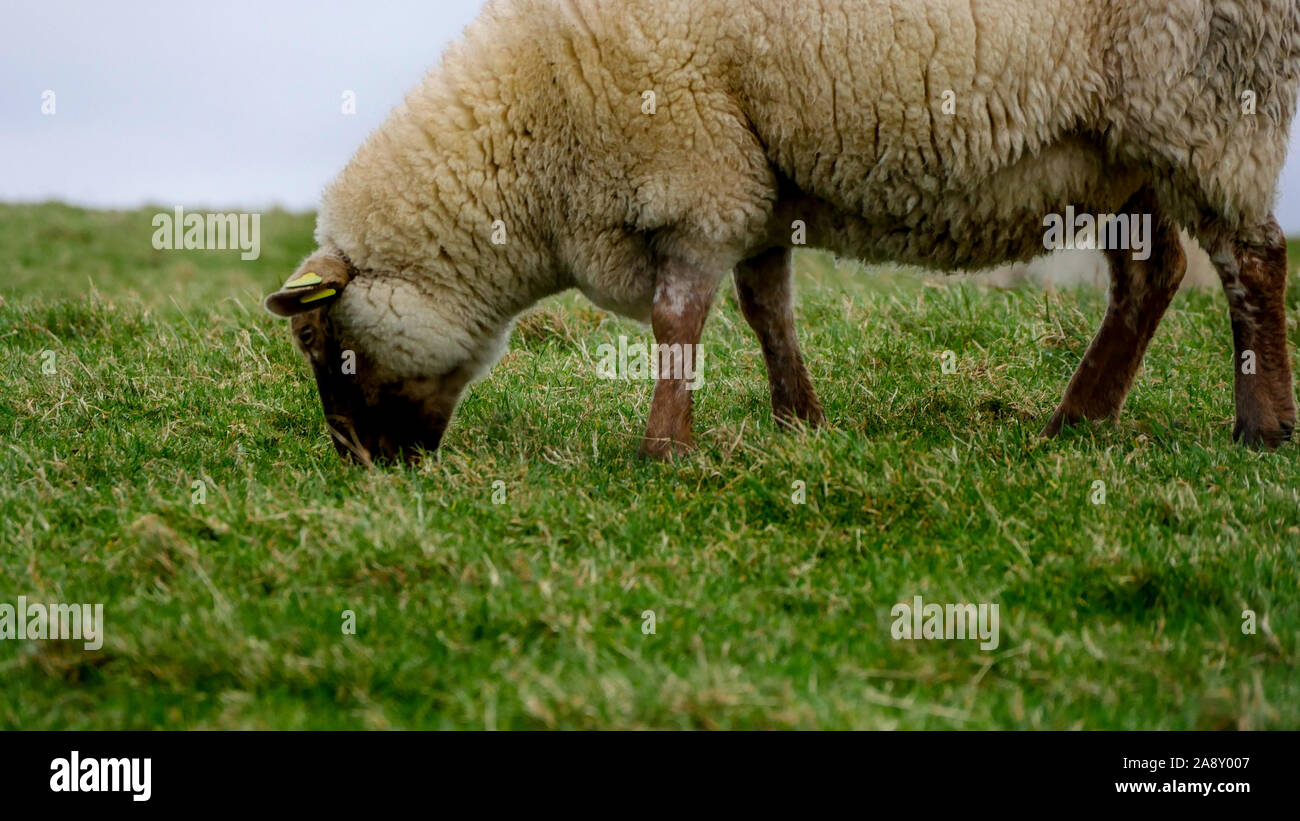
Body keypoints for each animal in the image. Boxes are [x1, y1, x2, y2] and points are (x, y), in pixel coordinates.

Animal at [265, 0, 1300, 463]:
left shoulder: (695, 172)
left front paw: (663, 449)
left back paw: (1261, 427)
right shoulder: (754, 179)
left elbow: (679, 318)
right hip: (1115, 151)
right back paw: (1076, 420)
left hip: (1203, 103)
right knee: (1152, 276)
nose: (360, 464)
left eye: (326, 345)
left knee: (1251, 260)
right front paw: (799, 419)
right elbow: (767, 308)